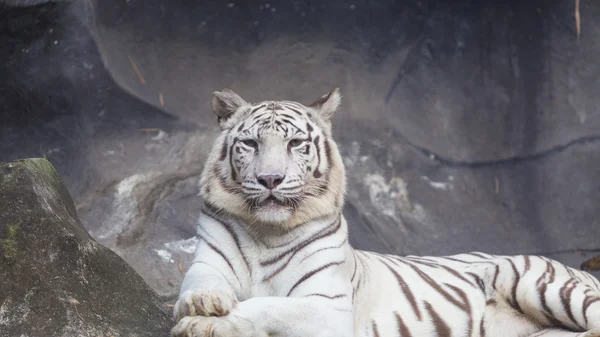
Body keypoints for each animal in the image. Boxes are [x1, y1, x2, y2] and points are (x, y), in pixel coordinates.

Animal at [170, 87, 600, 336]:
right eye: (250, 144)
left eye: (294, 144)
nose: (270, 179)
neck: (267, 231)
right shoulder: (206, 264)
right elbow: (200, 286)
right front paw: (203, 305)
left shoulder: (328, 307)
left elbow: (267, 305)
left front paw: (202, 323)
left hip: (534, 279)